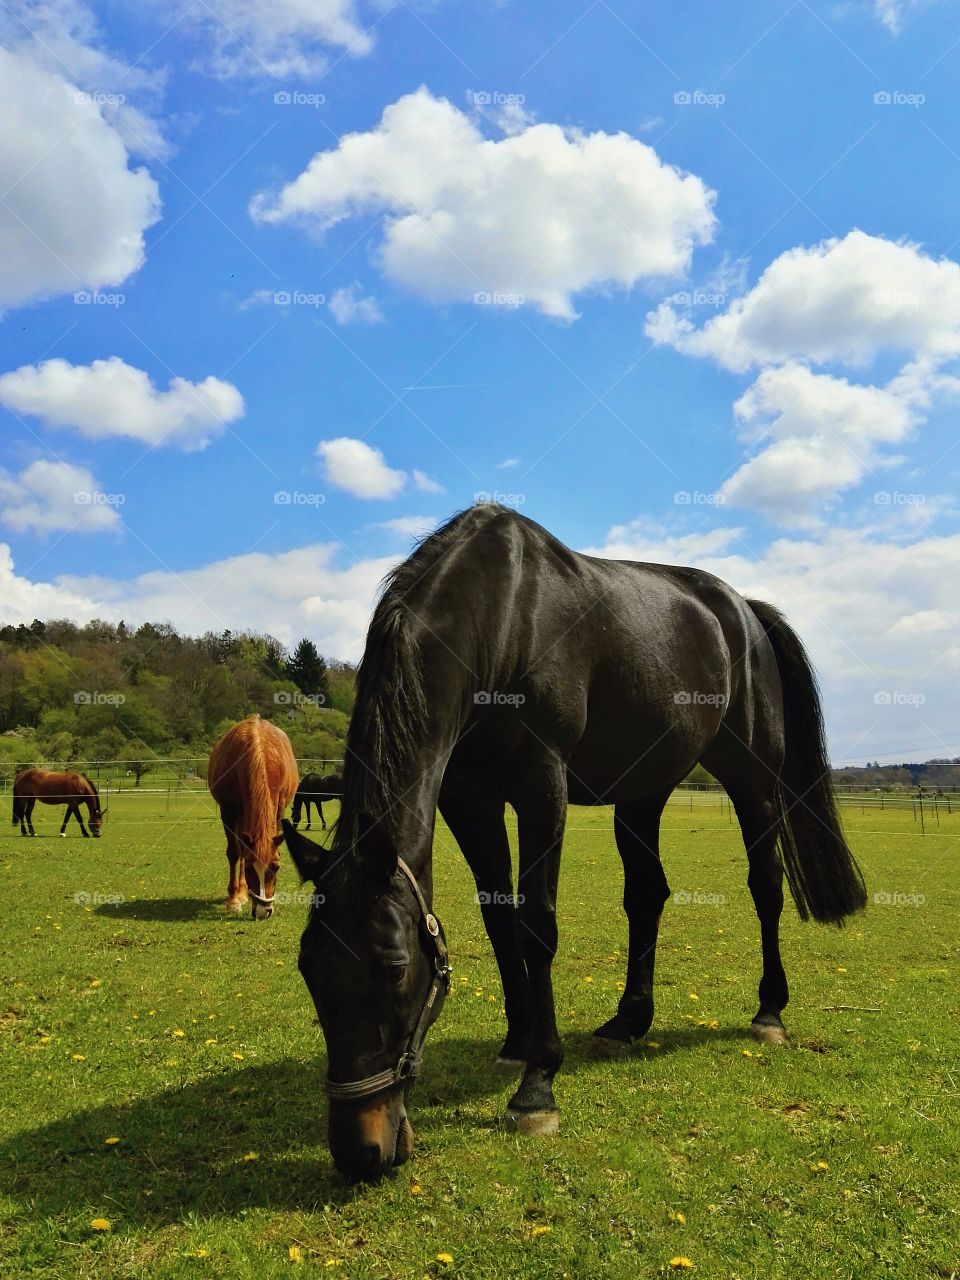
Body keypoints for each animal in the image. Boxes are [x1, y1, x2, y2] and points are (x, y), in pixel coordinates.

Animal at [207, 716, 299, 916]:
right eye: (250, 868)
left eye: (276, 867)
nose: (264, 911)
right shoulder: (228, 811)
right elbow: (234, 853)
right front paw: (233, 900)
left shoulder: (278, 809)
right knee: (240, 850)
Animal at [281, 504, 870, 1182]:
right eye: (308, 969)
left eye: (395, 968)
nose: (361, 1153)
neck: (502, 617)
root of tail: (742, 610)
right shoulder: (468, 800)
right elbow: (500, 919)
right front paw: (517, 1043)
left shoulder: (542, 786)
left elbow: (537, 924)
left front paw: (537, 1085)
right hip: (643, 793)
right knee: (647, 896)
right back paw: (629, 1020)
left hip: (752, 783)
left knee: (765, 888)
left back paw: (768, 1011)